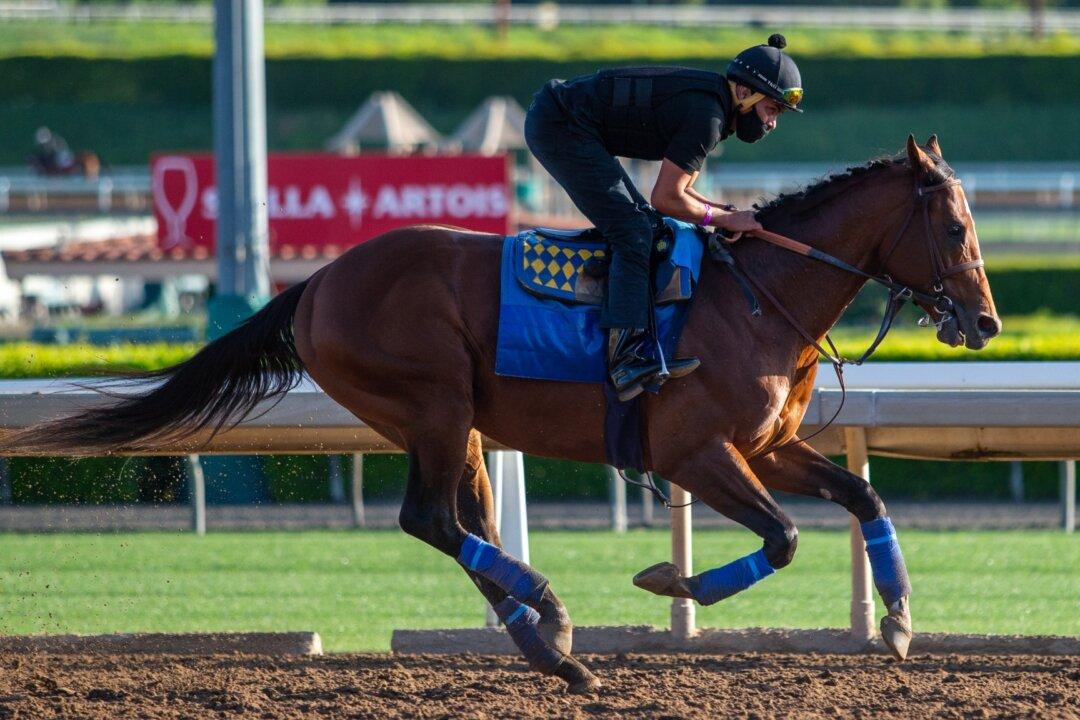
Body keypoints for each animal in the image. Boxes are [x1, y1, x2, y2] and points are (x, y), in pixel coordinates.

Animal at [2, 136, 1000, 694]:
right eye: (954, 228)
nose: (986, 322)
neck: (757, 296)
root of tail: (314, 284)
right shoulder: (692, 450)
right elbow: (785, 537)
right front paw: (666, 583)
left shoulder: (771, 444)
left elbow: (863, 500)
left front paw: (900, 624)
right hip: (435, 402)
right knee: (430, 519)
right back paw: (549, 610)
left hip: (465, 426)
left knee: (463, 526)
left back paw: (551, 645)